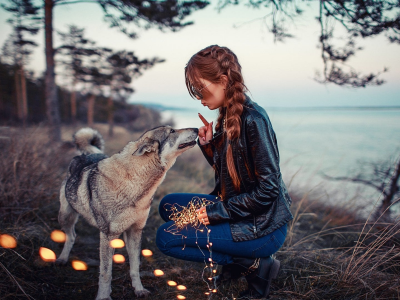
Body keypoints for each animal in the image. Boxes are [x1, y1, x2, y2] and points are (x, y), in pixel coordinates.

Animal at [57, 126, 198, 300]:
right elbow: (105, 273)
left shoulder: (135, 231)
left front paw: (139, 289)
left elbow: (135, 266)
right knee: (71, 236)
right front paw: (104, 296)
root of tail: (85, 154)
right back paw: (62, 258)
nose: (197, 129)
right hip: (65, 217)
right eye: (171, 131)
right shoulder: (108, 235)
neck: (134, 183)